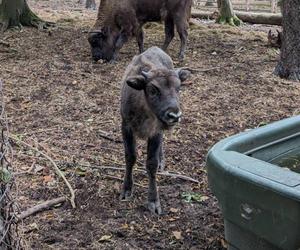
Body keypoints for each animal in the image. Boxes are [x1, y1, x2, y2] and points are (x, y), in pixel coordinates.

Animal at [119, 46, 190, 214]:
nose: (174, 115)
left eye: (178, 88)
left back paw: (162, 162)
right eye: (152, 89)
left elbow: (151, 163)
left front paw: (153, 202)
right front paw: (126, 190)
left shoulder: (156, 132)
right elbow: (130, 157)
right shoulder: (126, 127)